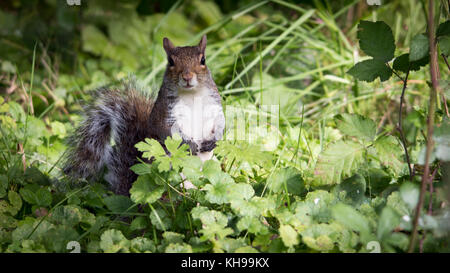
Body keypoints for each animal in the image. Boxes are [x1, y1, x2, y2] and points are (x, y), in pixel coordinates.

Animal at [63, 35, 225, 194]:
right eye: (171, 62)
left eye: (203, 60)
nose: (187, 77)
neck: (192, 94)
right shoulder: (164, 114)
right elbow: (166, 130)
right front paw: (188, 144)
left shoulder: (215, 106)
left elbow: (221, 123)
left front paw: (213, 141)